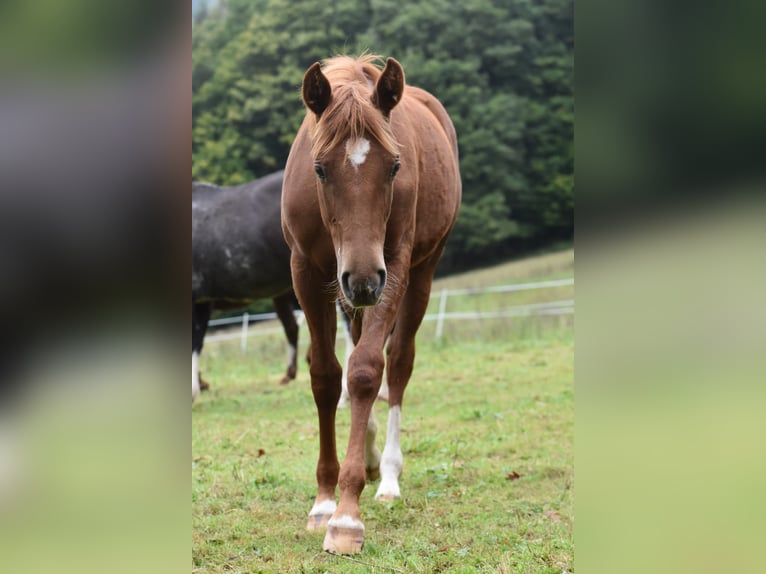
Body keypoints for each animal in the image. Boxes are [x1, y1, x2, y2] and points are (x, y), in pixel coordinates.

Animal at [281, 55, 461, 553]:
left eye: (395, 166)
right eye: (320, 169)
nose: (363, 279)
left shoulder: (391, 267)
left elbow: (365, 371)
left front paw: (346, 516)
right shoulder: (307, 271)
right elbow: (326, 377)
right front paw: (324, 500)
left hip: (418, 272)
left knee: (397, 364)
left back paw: (389, 476)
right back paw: (371, 454)